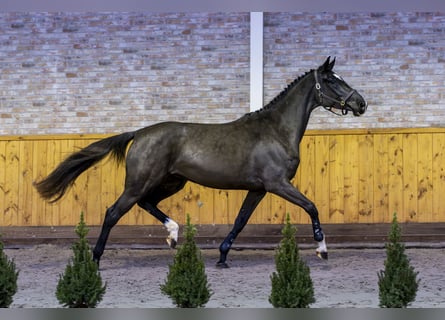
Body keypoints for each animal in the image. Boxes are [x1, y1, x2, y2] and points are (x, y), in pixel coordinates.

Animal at [33, 57, 368, 268]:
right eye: (331, 81)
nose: (360, 103)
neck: (276, 130)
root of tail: (139, 133)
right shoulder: (278, 184)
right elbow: (312, 207)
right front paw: (322, 251)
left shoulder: (259, 189)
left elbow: (241, 220)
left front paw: (222, 257)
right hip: (141, 182)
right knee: (113, 212)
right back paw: (96, 258)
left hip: (171, 181)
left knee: (146, 203)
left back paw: (173, 235)